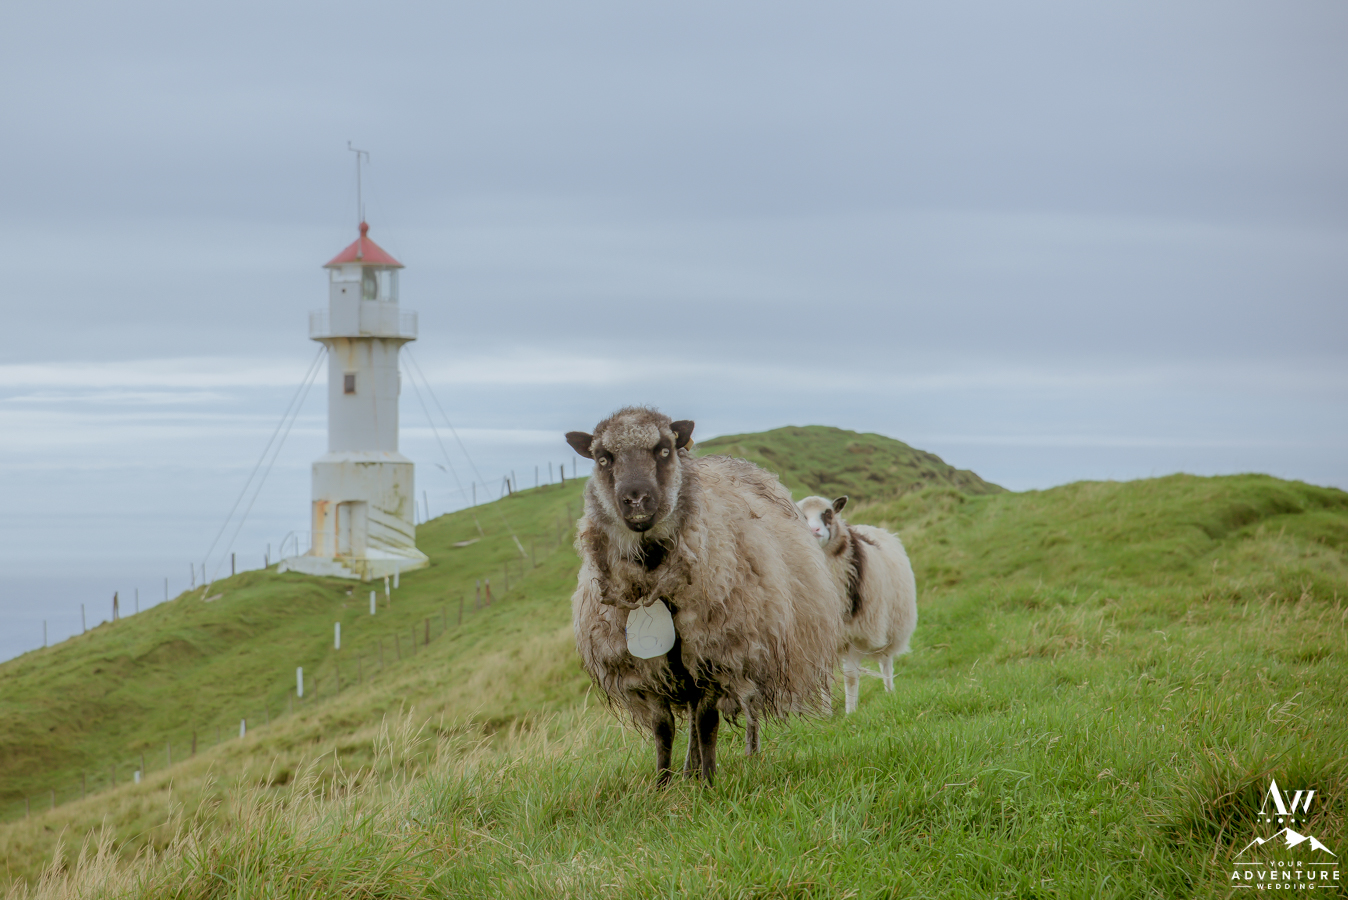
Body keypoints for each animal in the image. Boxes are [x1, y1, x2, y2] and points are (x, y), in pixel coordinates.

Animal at [566, 407, 844, 785]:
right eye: (603, 457)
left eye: (664, 449)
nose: (636, 499)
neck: (656, 585)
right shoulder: (647, 669)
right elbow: (663, 728)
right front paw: (662, 783)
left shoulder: (717, 651)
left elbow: (707, 722)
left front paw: (710, 782)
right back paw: (688, 771)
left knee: (730, 711)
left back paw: (738, 758)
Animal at [796, 495, 917, 715]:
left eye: (828, 513)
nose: (814, 531)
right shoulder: (819, 638)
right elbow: (824, 679)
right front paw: (826, 714)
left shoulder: (855, 633)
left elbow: (851, 677)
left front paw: (850, 713)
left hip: (890, 628)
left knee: (886, 663)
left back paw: (890, 692)